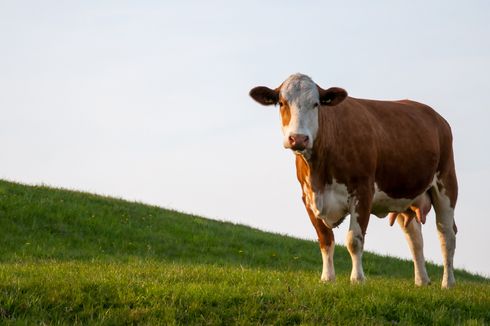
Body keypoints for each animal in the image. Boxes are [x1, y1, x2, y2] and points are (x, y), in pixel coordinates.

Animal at [251, 74, 458, 288]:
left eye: (316, 104)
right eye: (282, 103)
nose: (298, 139)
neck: (319, 173)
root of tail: (436, 117)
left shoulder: (363, 192)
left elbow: (354, 240)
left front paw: (357, 279)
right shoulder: (307, 197)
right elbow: (325, 239)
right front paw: (327, 278)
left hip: (446, 183)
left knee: (447, 234)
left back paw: (448, 283)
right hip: (403, 195)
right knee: (415, 238)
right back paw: (421, 281)